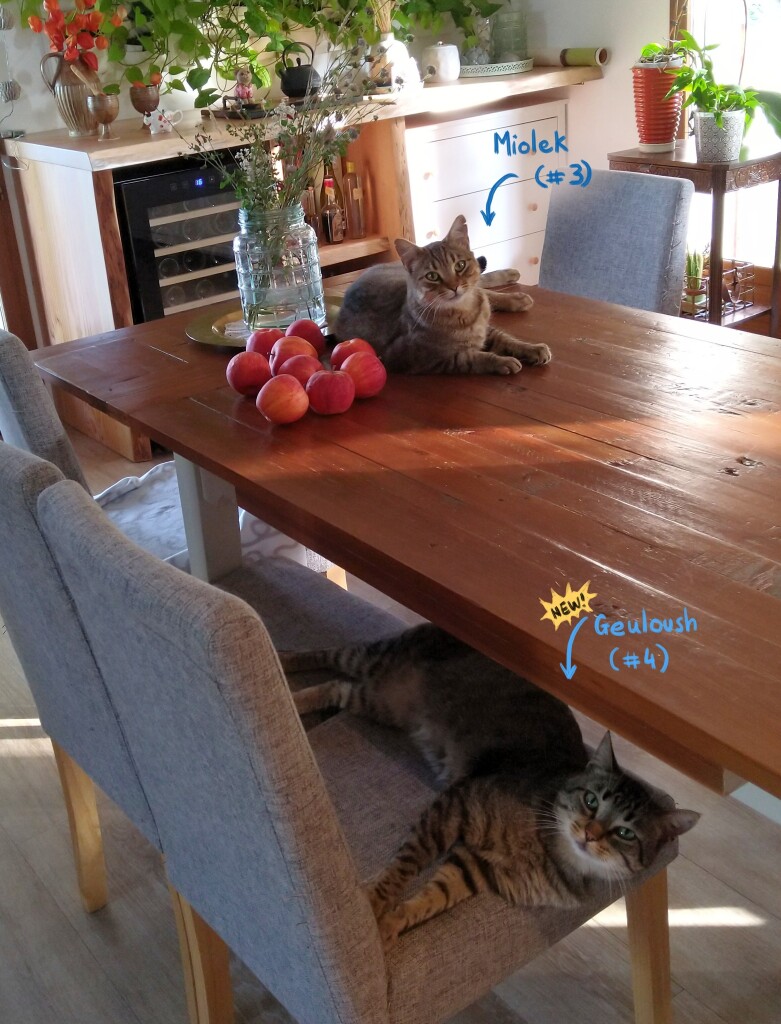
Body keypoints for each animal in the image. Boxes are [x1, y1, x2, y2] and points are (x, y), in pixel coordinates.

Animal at [282, 622, 704, 950]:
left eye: (625, 833)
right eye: (590, 800)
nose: (589, 832)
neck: (550, 854)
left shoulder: (472, 867)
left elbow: (429, 900)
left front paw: (392, 923)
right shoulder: (455, 805)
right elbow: (403, 868)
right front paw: (373, 905)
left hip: (377, 701)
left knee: (336, 687)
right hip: (377, 667)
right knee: (328, 657)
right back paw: (283, 664)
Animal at [333, 214, 552, 374]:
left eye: (460, 265)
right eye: (432, 276)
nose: (454, 286)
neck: (465, 311)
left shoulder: (486, 329)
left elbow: (506, 338)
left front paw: (533, 348)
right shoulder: (437, 359)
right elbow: (475, 358)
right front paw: (503, 362)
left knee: (484, 287)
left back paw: (515, 290)